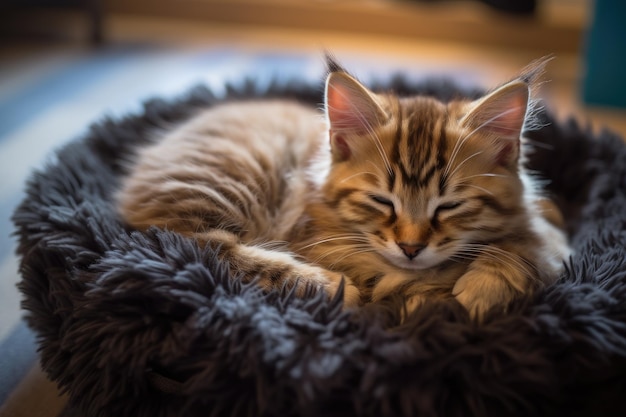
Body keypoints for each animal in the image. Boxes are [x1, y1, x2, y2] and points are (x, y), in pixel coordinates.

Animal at [117, 57, 572, 320]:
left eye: (450, 206)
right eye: (381, 201)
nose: (411, 248)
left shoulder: (549, 230)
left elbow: (531, 246)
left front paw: (481, 287)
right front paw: (430, 297)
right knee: (196, 245)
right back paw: (325, 286)